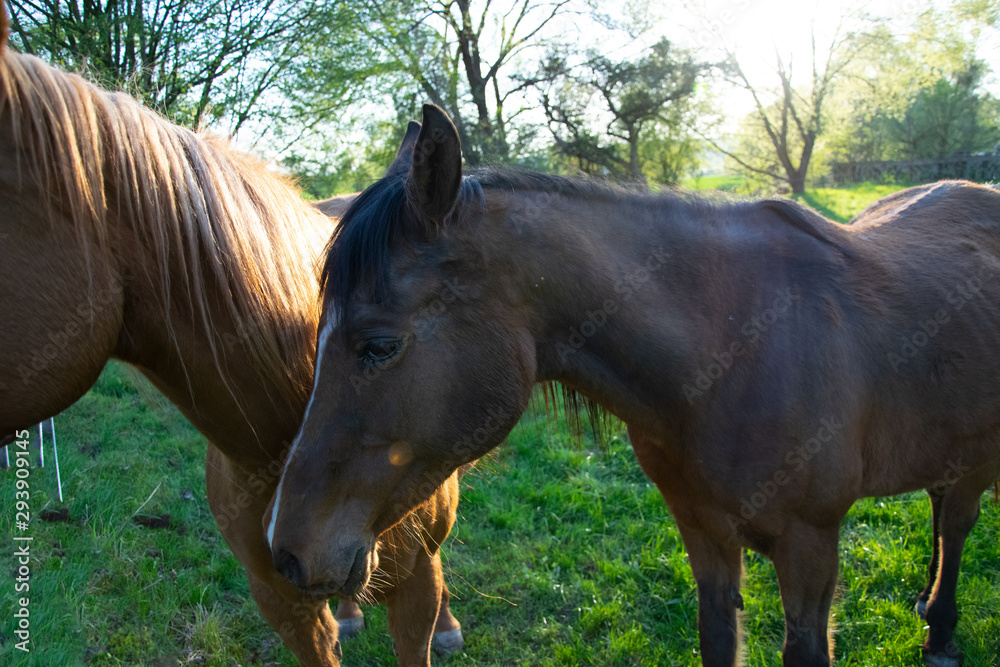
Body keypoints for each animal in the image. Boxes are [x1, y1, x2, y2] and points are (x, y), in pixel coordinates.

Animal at [266, 103, 1000, 667]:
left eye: (380, 344)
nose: (287, 552)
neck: (733, 351)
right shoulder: (703, 533)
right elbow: (717, 639)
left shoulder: (810, 546)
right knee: (943, 507)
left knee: (958, 521)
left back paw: (941, 631)